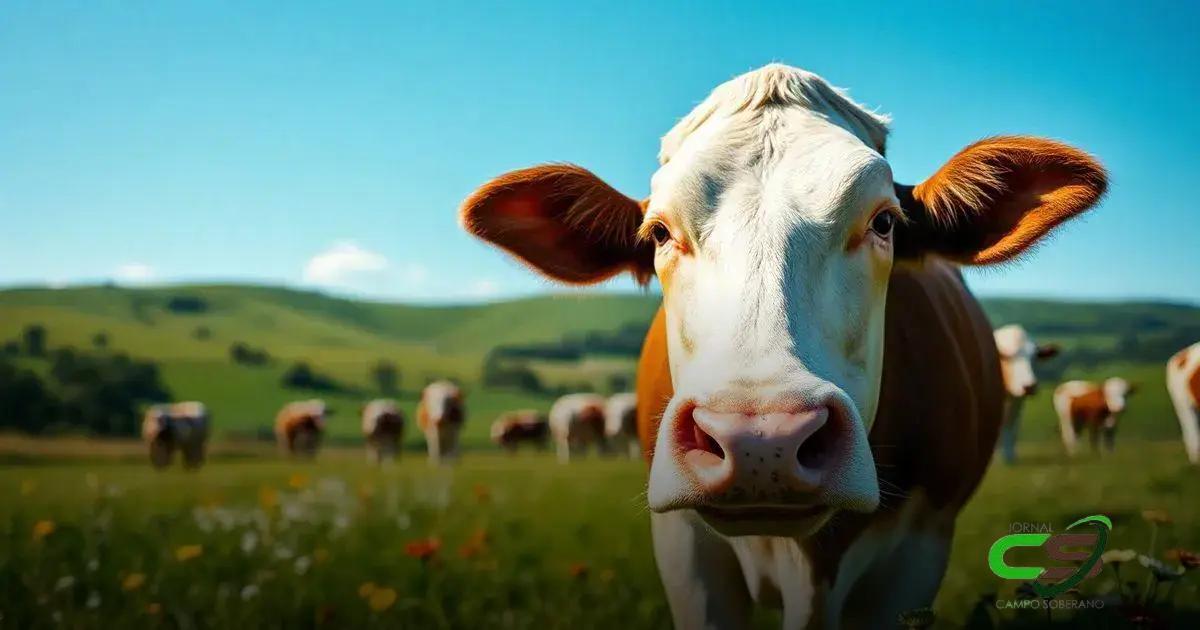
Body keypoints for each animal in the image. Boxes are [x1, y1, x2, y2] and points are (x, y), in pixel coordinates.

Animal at [993, 324, 1059, 464]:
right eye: (1009, 356)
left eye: (1034, 357)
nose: (1030, 386)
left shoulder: (1017, 403)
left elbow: (1012, 428)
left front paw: (1009, 457)